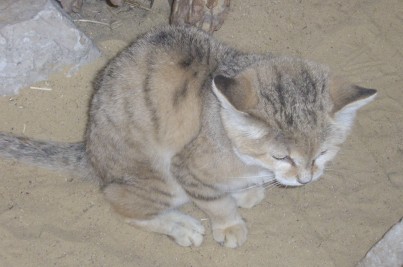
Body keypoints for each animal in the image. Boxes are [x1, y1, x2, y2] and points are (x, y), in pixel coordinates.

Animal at [0, 25, 378, 249]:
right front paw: (229, 225)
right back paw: (180, 225)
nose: (305, 179)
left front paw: (247, 191)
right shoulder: (186, 168)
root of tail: (89, 152)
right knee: (121, 203)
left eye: (323, 153)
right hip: (160, 180)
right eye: (281, 156)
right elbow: (217, 203)